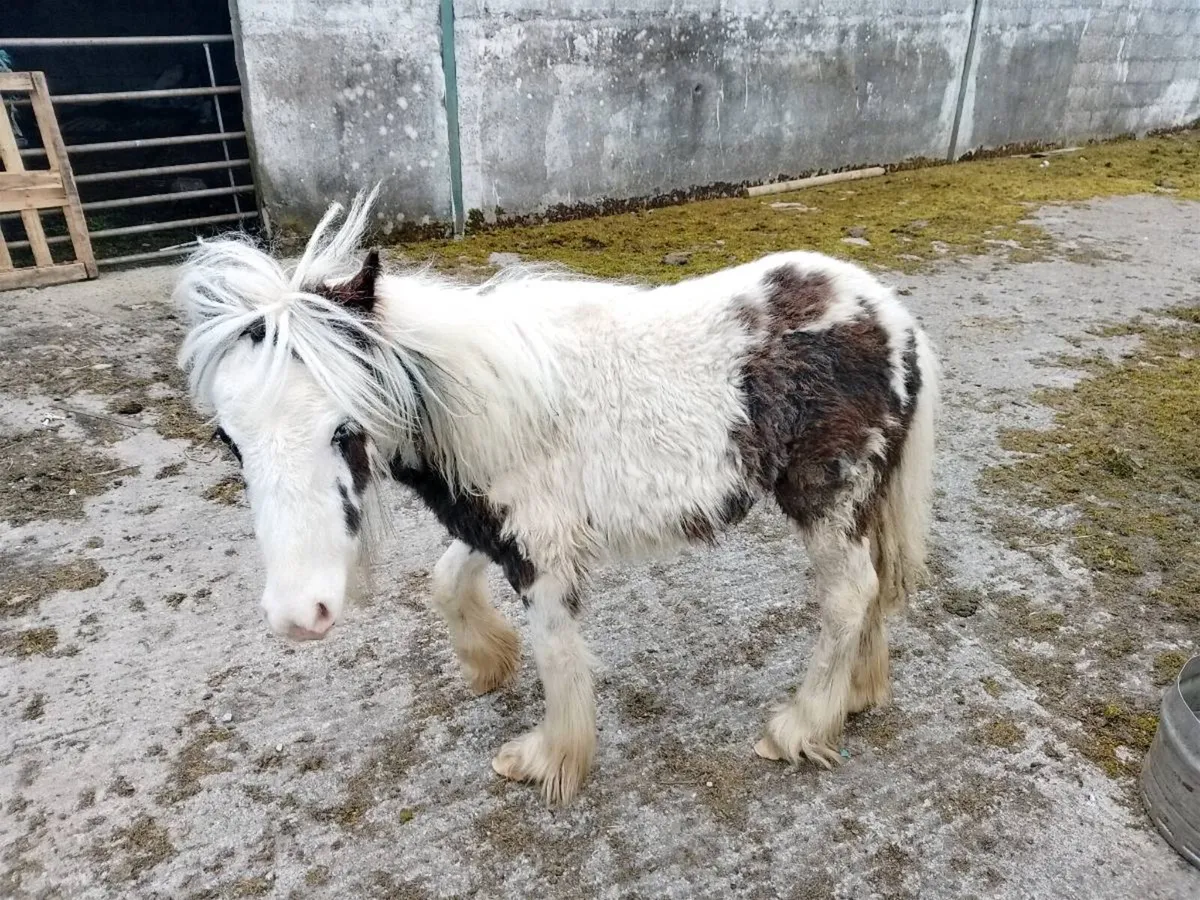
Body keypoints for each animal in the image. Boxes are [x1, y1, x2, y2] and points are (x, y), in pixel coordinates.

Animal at [174, 188, 939, 806]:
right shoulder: (502, 527)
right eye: (228, 439)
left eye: (345, 427)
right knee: (873, 588)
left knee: (848, 596)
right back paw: (857, 696)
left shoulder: (541, 553)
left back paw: (800, 726)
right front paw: (488, 662)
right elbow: (446, 581)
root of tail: (891, 320)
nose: (298, 614)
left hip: (829, 497)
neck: (497, 403)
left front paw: (547, 759)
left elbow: (554, 652)